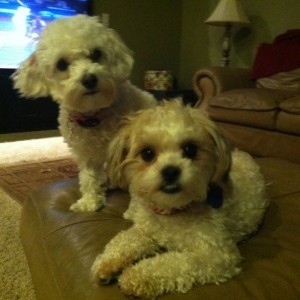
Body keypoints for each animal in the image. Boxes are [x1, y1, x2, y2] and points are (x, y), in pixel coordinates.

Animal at [12, 14, 156, 211]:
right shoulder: (85, 154)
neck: (93, 116)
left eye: (96, 54)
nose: (89, 79)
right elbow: (88, 178)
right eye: (62, 64)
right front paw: (90, 201)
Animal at [91, 100, 270, 298]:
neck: (172, 211)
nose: (170, 171)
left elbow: (170, 263)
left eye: (190, 149)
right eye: (147, 153)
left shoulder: (216, 255)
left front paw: (136, 276)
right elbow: (124, 240)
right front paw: (107, 262)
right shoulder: (145, 231)